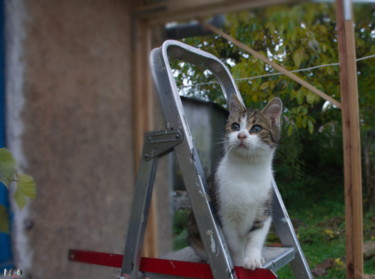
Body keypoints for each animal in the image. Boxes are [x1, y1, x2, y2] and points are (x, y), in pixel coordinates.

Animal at [189, 94, 284, 272]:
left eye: (257, 128)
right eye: (235, 126)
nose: (241, 135)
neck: (247, 171)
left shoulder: (263, 211)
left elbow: (255, 238)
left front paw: (253, 259)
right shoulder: (225, 214)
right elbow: (234, 244)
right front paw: (239, 262)